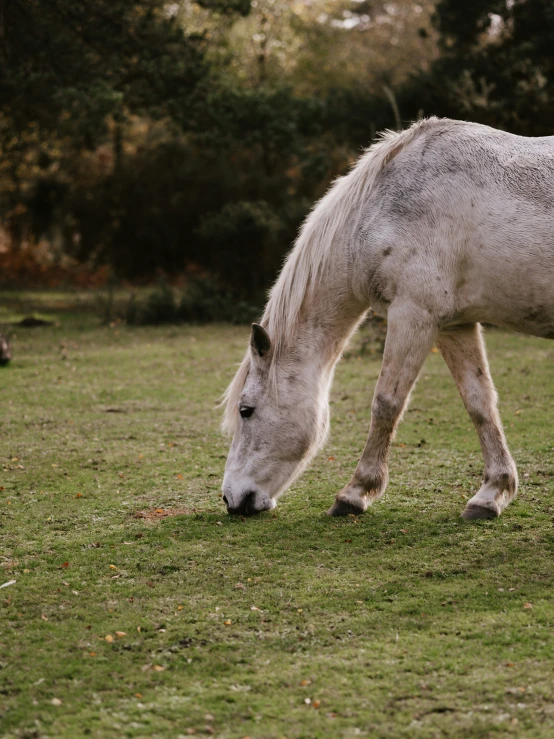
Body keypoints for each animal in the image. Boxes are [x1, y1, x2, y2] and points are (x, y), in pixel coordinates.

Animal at [220, 115, 552, 520]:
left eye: (246, 411)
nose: (232, 499)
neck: (380, 207)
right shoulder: (454, 325)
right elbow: (480, 402)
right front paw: (492, 494)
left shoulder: (413, 315)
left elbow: (387, 403)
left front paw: (355, 492)